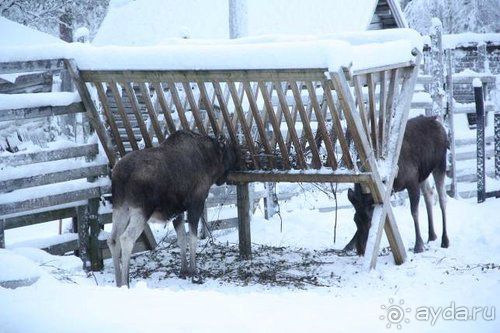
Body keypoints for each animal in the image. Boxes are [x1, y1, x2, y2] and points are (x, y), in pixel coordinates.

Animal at [108, 130, 237, 286]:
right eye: (230, 150)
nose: (237, 162)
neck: (210, 162)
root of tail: (119, 175)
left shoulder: (177, 212)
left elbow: (181, 238)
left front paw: (184, 271)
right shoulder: (196, 203)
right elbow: (192, 238)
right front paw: (195, 273)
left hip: (120, 207)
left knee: (113, 239)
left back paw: (118, 281)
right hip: (142, 209)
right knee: (126, 238)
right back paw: (125, 283)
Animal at [346, 115, 448, 253]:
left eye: (370, 220)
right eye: (355, 220)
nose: (361, 249)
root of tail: (437, 121)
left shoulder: (412, 182)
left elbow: (414, 212)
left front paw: (418, 245)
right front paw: (348, 245)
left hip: (440, 164)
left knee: (442, 198)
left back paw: (445, 240)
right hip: (423, 174)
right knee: (429, 194)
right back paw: (432, 235)